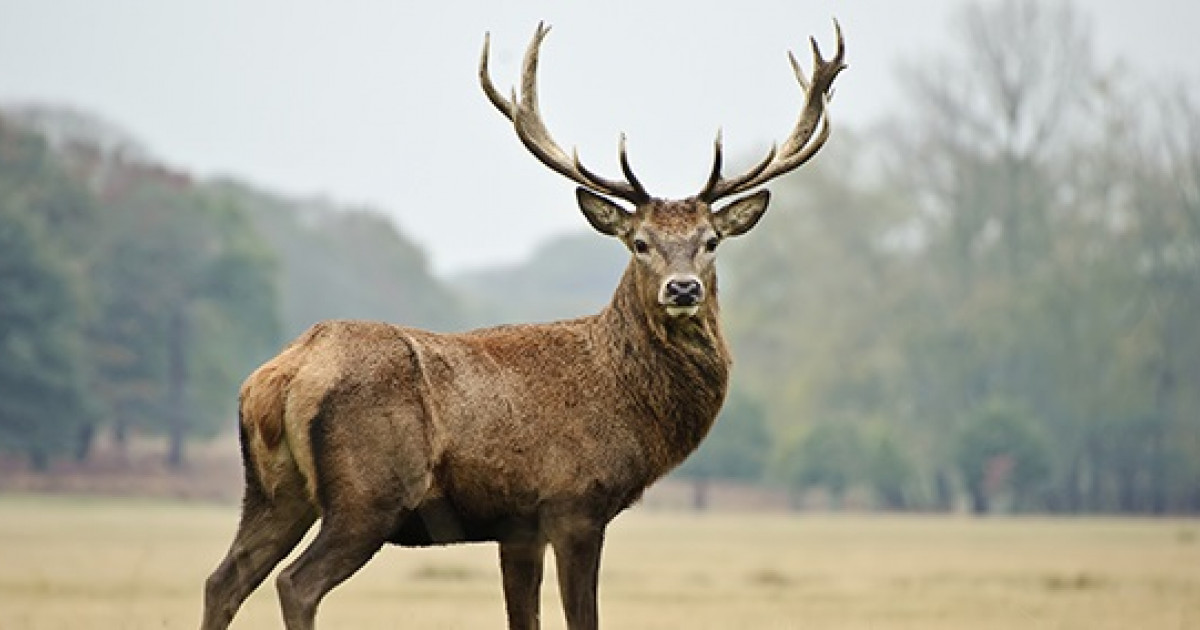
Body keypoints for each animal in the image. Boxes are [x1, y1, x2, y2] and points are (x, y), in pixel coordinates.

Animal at [199, 19, 844, 628]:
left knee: (223, 579)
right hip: (368, 493)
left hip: (273, 491)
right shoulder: (574, 503)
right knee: (295, 583)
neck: (626, 402)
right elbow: (582, 619)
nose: (682, 288)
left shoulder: (517, 526)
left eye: (710, 241)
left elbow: (522, 618)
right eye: (639, 242)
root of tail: (281, 375)